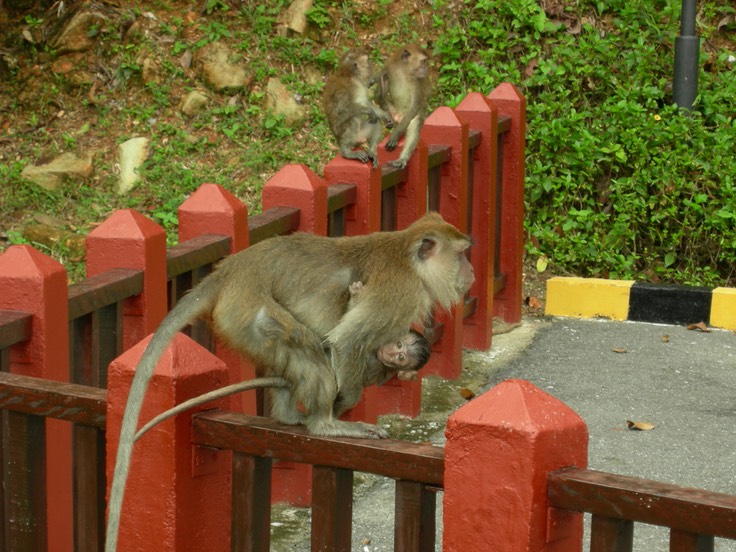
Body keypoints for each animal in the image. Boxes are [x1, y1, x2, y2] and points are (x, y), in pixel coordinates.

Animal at [105, 211, 472, 552]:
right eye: (462, 254)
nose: (470, 272)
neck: (409, 259)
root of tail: (231, 270)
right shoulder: (399, 293)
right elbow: (347, 341)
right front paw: (341, 405)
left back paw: (286, 415)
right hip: (251, 312)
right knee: (308, 346)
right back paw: (325, 424)